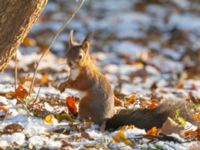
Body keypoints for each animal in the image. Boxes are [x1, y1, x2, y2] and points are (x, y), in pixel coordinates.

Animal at [58, 31, 198, 130]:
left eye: (80, 56)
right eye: (67, 53)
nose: (69, 63)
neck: (77, 69)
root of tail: (104, 120)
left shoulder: (88, 78)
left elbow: (79, 84)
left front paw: (65, 84)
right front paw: (61, 85)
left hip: (85, 104)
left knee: (88, 119)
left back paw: (79, 120)